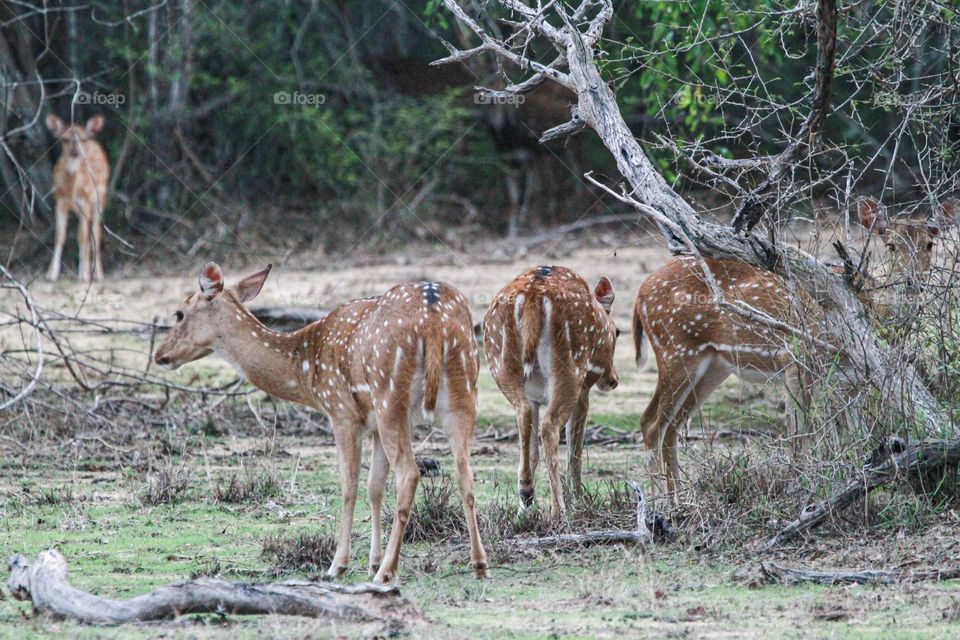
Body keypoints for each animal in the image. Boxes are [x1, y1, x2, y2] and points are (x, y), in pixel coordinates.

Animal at [46, 114, 110, 282]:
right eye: (64, 139)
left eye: (82, 139)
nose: (75, 152)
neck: (71, 190)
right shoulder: (59, 202)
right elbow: (59, 235)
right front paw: (51, 274)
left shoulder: (85, 202)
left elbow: (82, 236)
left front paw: (84, 274)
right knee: (89, 233)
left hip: (100, 199)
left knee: (95, 233)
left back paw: (98, 274)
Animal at [157, 262, 492, 584]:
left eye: (179, 313)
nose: (160, 355)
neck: (306, 372)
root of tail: (433, 318)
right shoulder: (373, 423)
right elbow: (374, 487)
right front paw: (371, 560)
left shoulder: (342, 412)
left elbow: (349, 485)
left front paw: (339, 565)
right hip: (464, 391)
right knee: (465, 473)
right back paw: (479, 564)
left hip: (390, 395)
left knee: (410, 474)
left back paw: (387, 572)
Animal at [484, 264, 620, 520]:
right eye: (618, 332)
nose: (613, 380)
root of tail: (532, 295)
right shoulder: (584, 390)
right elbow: (575, 450)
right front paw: (580, 500)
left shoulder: (535, 397)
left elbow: (534, 450)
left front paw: (523, 508)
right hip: (571, 368)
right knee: (550, 427)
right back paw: (560, 511)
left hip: (501, 364)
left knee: (523, 415)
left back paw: (526, 495)